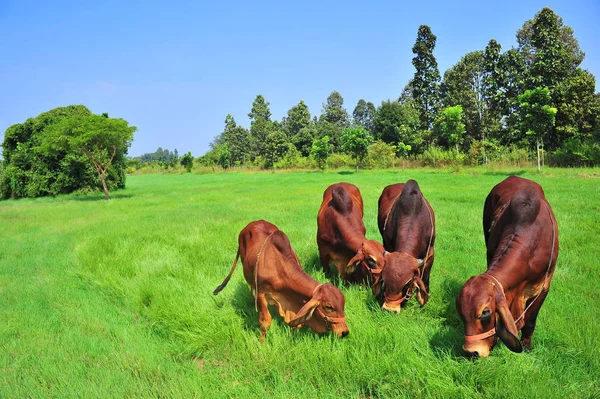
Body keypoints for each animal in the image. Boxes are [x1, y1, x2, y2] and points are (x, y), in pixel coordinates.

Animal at [214, 220, 346, 342]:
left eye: (343, 304)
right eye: (329, 307)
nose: (345, 332)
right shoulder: (261, 293)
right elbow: (265, 322)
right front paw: (261, 343)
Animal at [458, 177, 560, 358]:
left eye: (485, 313)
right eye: (460, 313)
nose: (472, 352)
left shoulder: (544, 287)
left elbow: (530, 322)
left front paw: (527, 346)